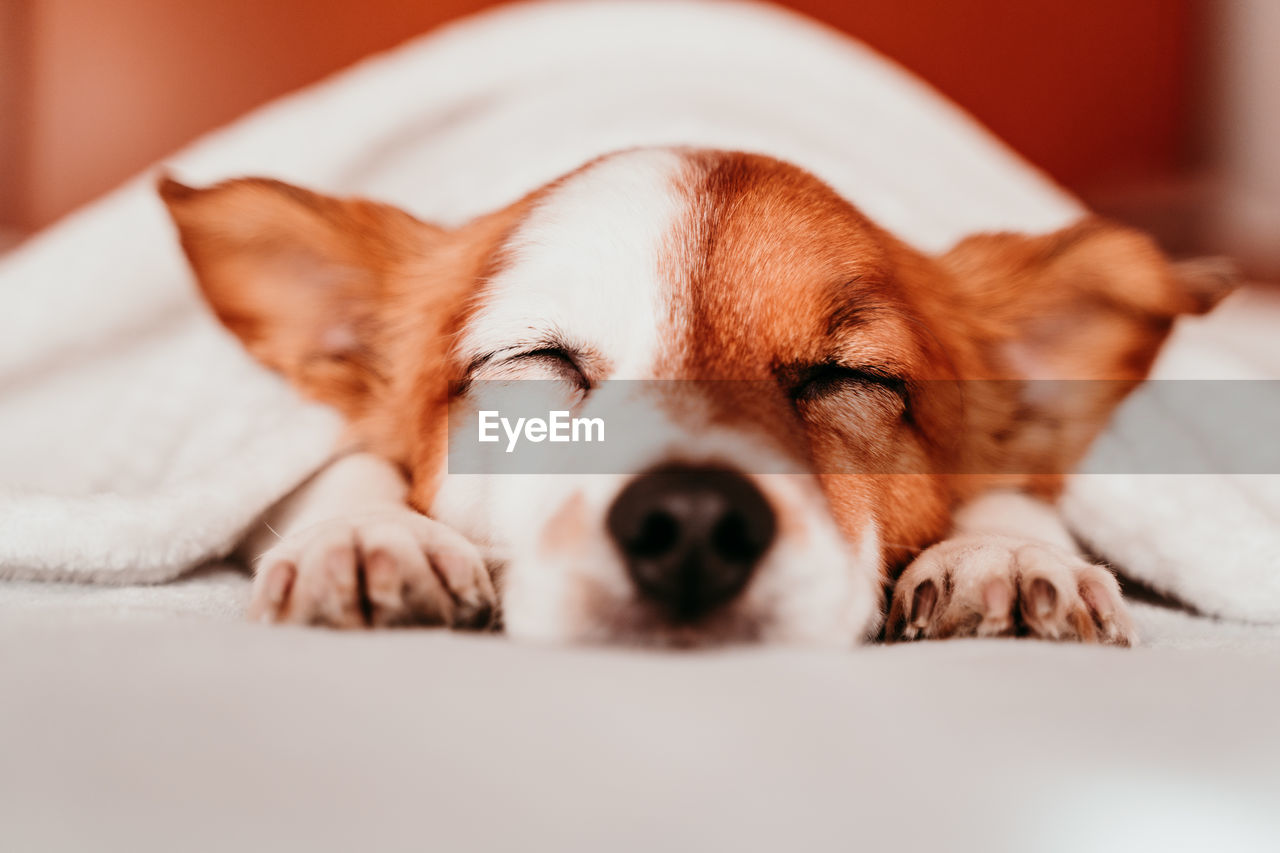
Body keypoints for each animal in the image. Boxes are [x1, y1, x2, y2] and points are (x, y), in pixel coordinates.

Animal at [160, 144, 1228, 645]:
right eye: (540, 359)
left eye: (848, 377)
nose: (694, 522)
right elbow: (342, 469)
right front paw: (363, 535)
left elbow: (1012, 493)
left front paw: (1001, 552)